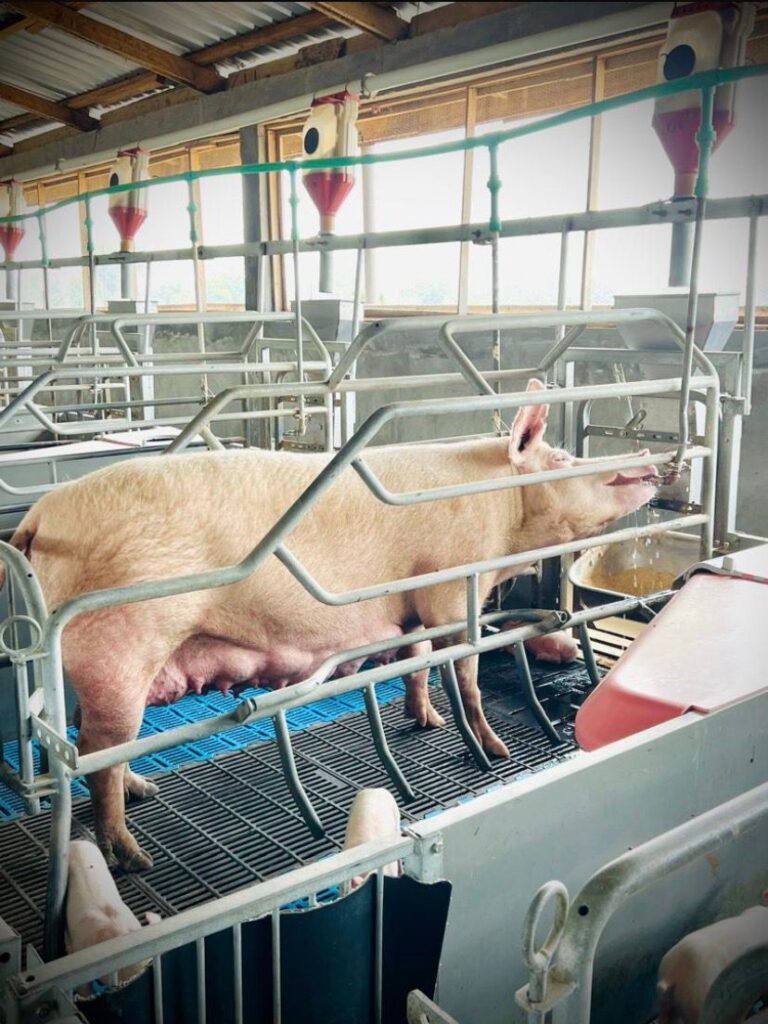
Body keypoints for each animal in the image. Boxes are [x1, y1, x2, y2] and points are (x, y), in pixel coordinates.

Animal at [6, 378, 657, 871]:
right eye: (566, 460)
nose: (650, 464)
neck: (501, 518)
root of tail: (39, 519)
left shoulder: (409, 605)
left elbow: (413, 664)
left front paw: (425, 721)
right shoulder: (449, 586)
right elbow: (464, 672)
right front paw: (492, 751)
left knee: (95, 739)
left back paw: (147, 791)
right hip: (122, 641)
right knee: (95, 750)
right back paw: (132, 855)